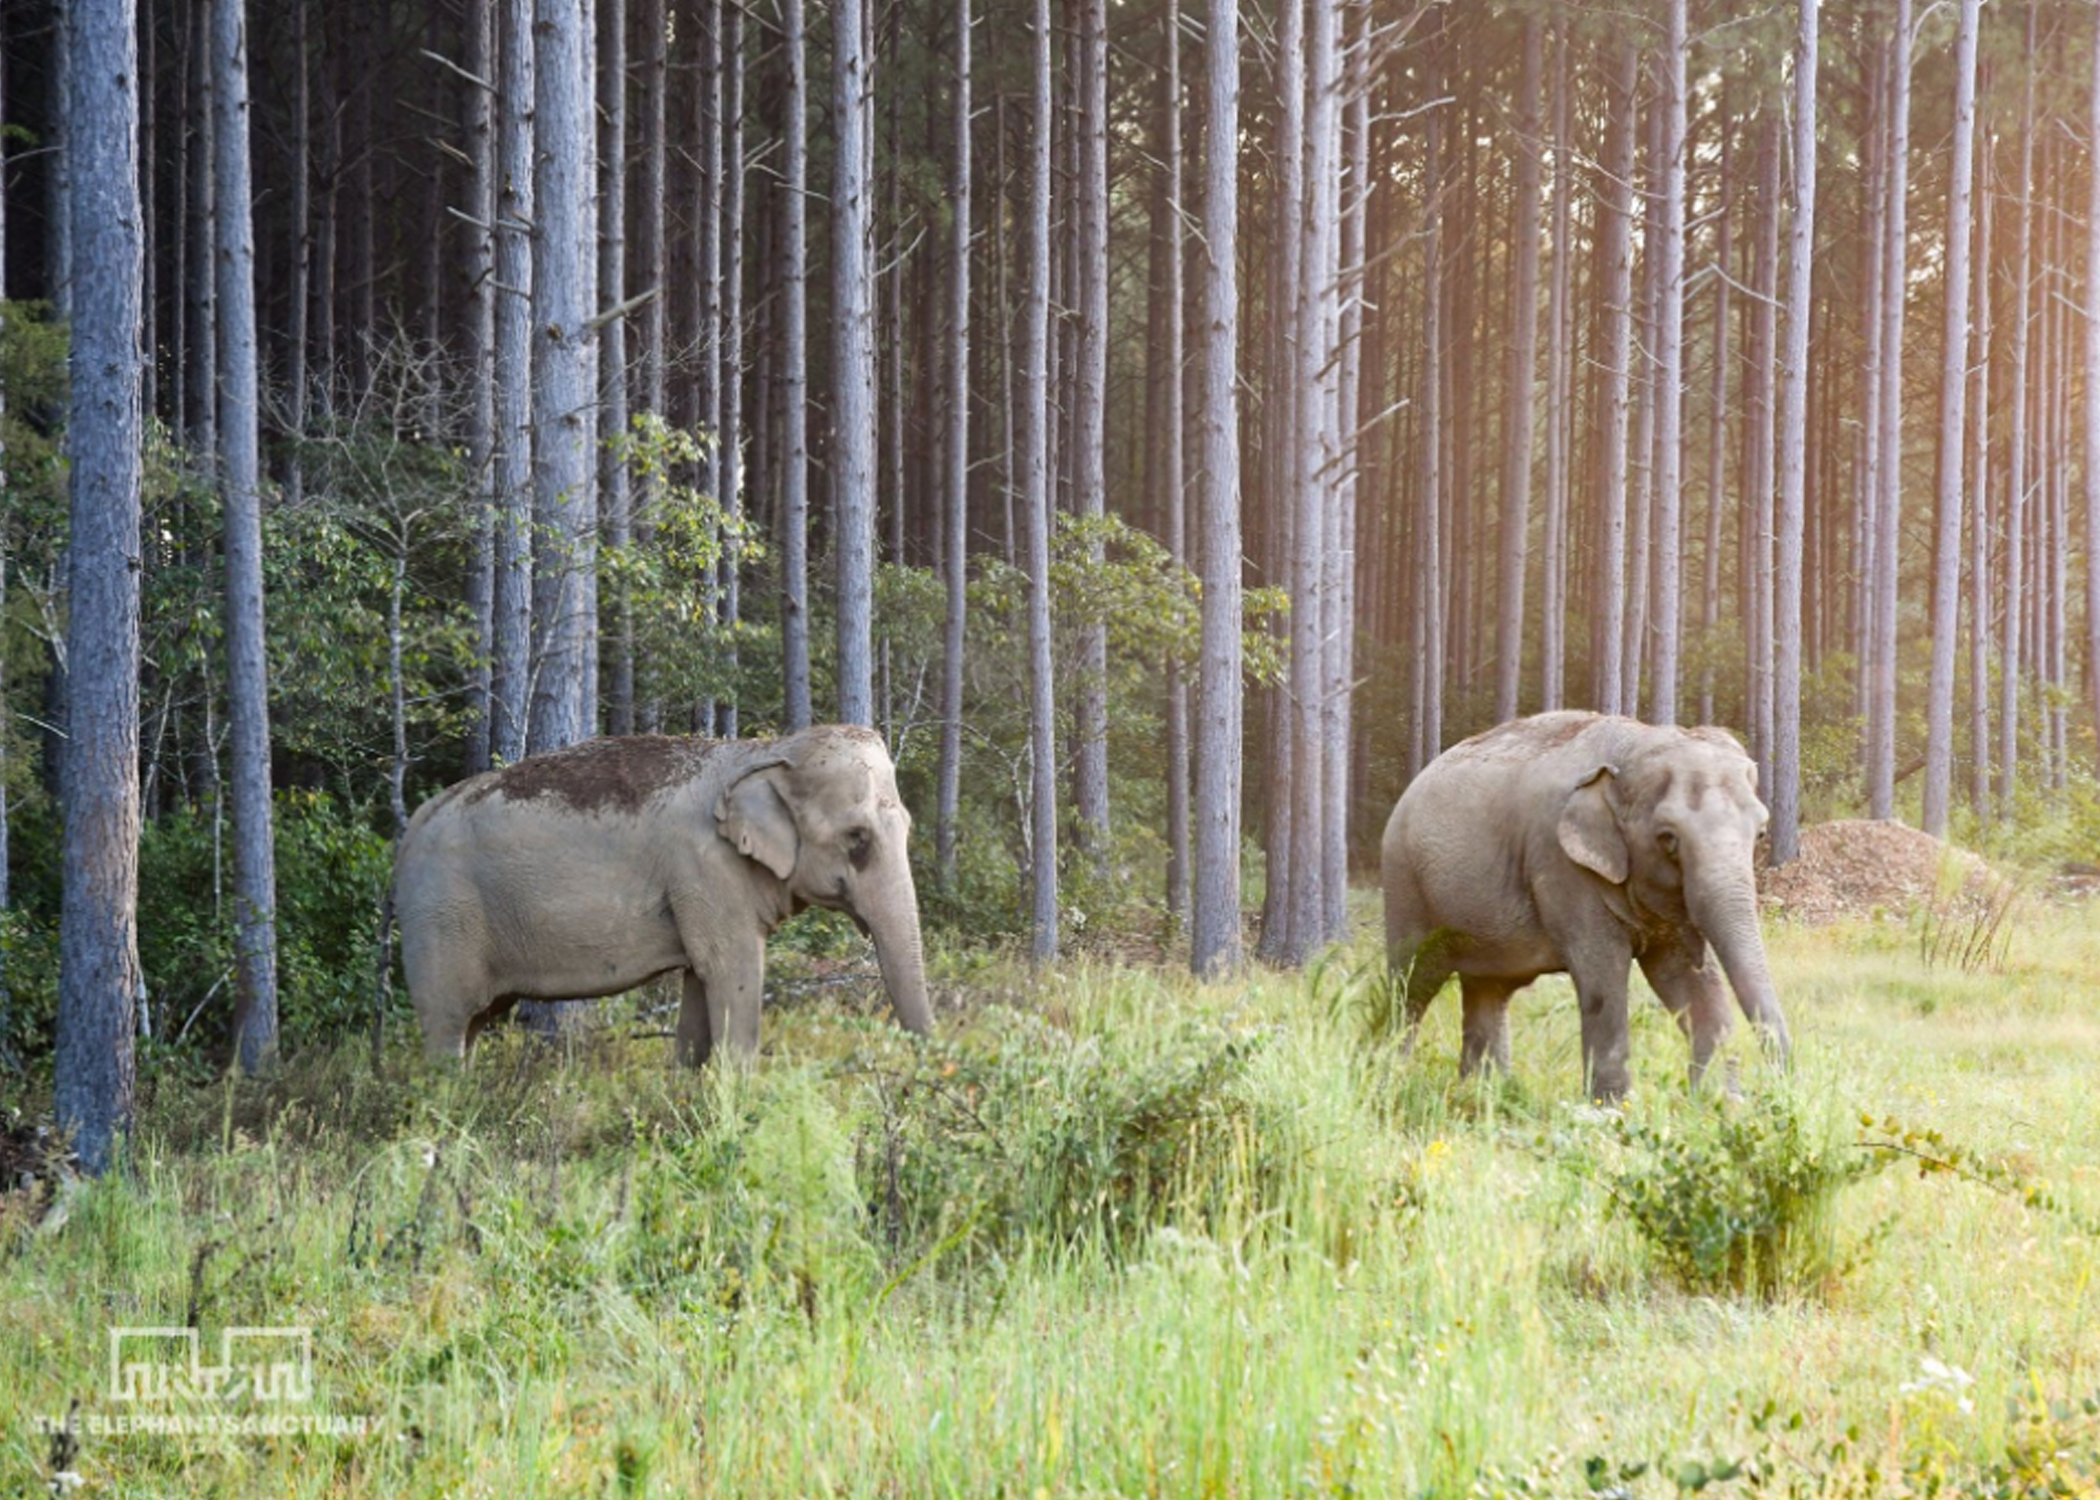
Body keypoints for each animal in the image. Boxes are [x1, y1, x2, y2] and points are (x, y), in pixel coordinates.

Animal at [394, 722, 936, 1063]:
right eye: (857, 839)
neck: (764, 751)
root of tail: (412, 826)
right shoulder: (706, 870)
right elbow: (734, 976)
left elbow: (699, 990)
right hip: (440, 917)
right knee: (447, 1027)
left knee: (474, 1024)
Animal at [1377, 705, 1789, 1092]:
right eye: (1668, 839)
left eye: (1760, 832)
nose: (1780, 1081)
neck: (1635, 742)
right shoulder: (1562, 866)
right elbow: (1602, 981)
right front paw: (1612, 1109)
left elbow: (1686, 979)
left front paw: (1721, 1104)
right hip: (1404, 884)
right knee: (1410, 987)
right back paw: (1390, 1079)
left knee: (1486, 992)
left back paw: (1483, 1094)